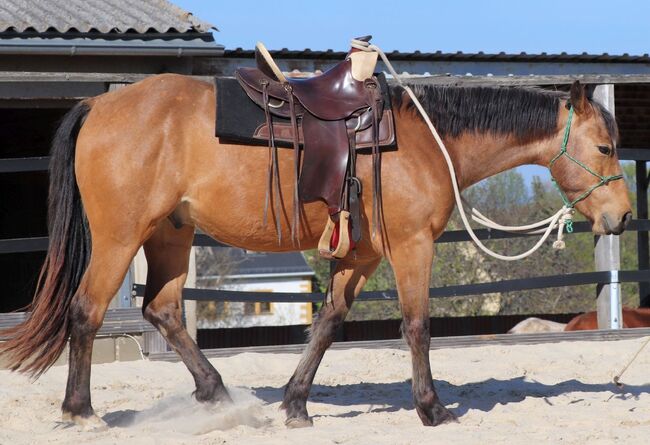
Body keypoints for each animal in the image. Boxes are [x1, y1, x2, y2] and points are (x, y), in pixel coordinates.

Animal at [0, 75, 631, 428]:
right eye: (604, 147)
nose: (623, 217)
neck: (428, 142)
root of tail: (99, 107)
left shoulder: (362, 255)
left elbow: (328, 323)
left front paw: (296, 403)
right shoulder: (411, 247)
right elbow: (418, 326)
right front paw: (432, 408)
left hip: (170, 234)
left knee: (163, 310)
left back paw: (218, 395)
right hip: (120, 237)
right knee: (86, 312)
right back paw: (81, 412)